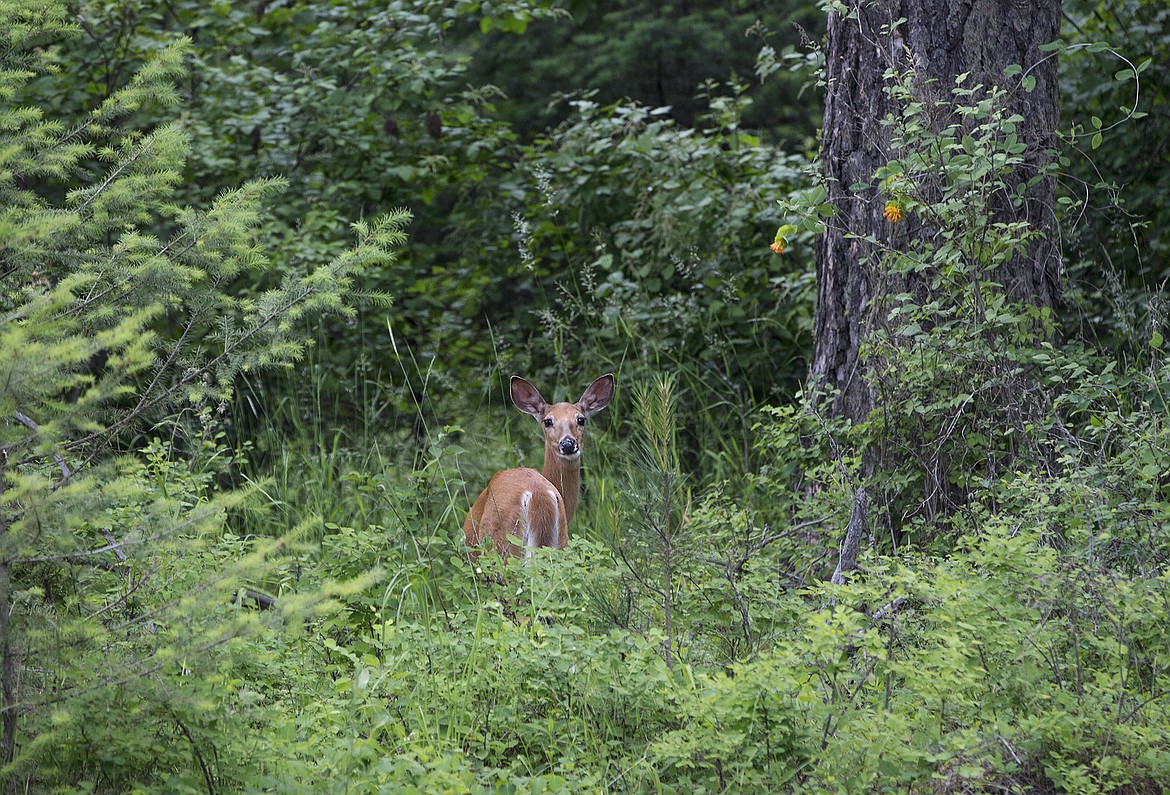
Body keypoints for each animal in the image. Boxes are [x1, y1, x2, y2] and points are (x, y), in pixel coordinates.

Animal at [460, 374, 617, 557]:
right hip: (560, 541)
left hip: (501, 542)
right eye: (548, 421)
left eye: (581, 419)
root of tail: (538, 495)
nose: (568, 444)